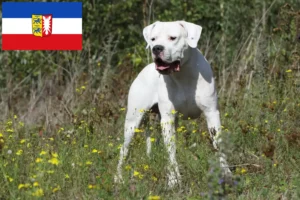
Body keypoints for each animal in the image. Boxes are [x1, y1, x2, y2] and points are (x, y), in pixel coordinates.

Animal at [115, 20, 232, 188]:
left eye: (173, 38)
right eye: (153, 39)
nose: (157, 48)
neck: (183, 74)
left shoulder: (212, 114)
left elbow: (219, 145)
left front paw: (226, 175)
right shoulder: (168, 119)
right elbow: (170, 152)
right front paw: (173, 181)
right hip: (133, 122)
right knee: (124, 150)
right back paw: (118, 178)